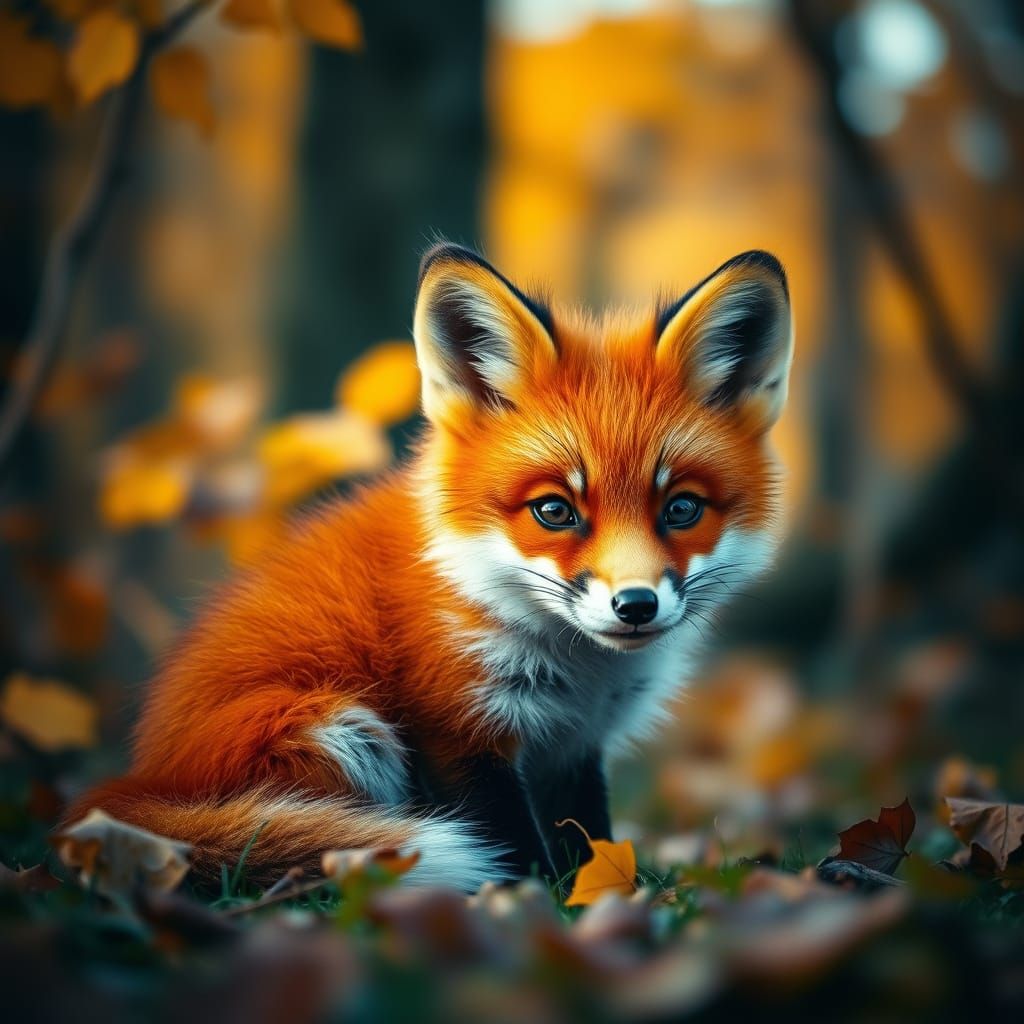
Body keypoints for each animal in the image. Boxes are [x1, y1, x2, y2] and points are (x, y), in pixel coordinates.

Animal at [65, 243, 794, 891]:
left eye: (681, 508)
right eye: (554, 511)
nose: (636, 605)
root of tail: (136, 782)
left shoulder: (572, 745)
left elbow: (590, 842)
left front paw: (612, 892)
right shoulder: (458, 732)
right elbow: (519, 852)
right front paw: (533, 901)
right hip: (341, 729)